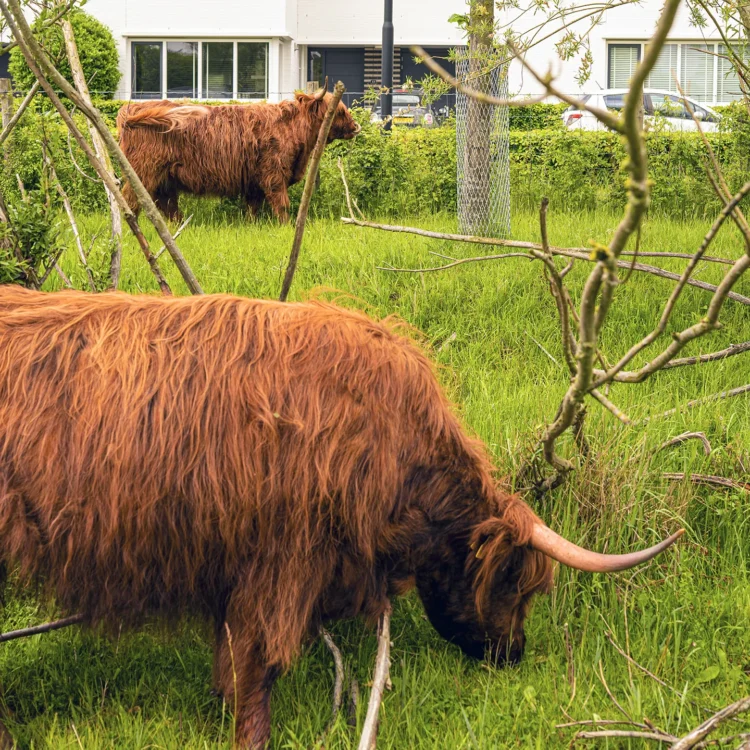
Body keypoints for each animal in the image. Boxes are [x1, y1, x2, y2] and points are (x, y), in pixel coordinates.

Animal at [0, 286, 684, 748]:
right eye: (515, 582)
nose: (512, 653)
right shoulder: (281, 565)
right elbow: (260, 669)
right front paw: (252, 737)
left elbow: (232, 663)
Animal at [117, 84, 362, 223]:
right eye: (339, 110)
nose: (356, 126)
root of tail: (131, 109)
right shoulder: (274, 174)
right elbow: (281, 204)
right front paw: (287, 226)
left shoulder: (255, 182)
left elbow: (253, 208)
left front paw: (252, 226)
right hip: (143, 171)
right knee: (131, 200)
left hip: (165, 178)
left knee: (167, 205)